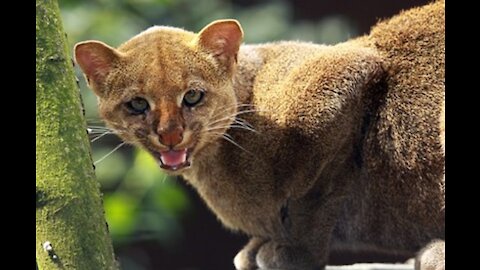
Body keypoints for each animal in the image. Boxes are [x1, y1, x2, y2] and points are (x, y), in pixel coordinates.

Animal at [73, 1, 444, 268]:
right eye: (137, 104)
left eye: (192, 96)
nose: (170, 135)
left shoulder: (350, 75)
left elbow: (315, 199)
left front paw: (294, 254)